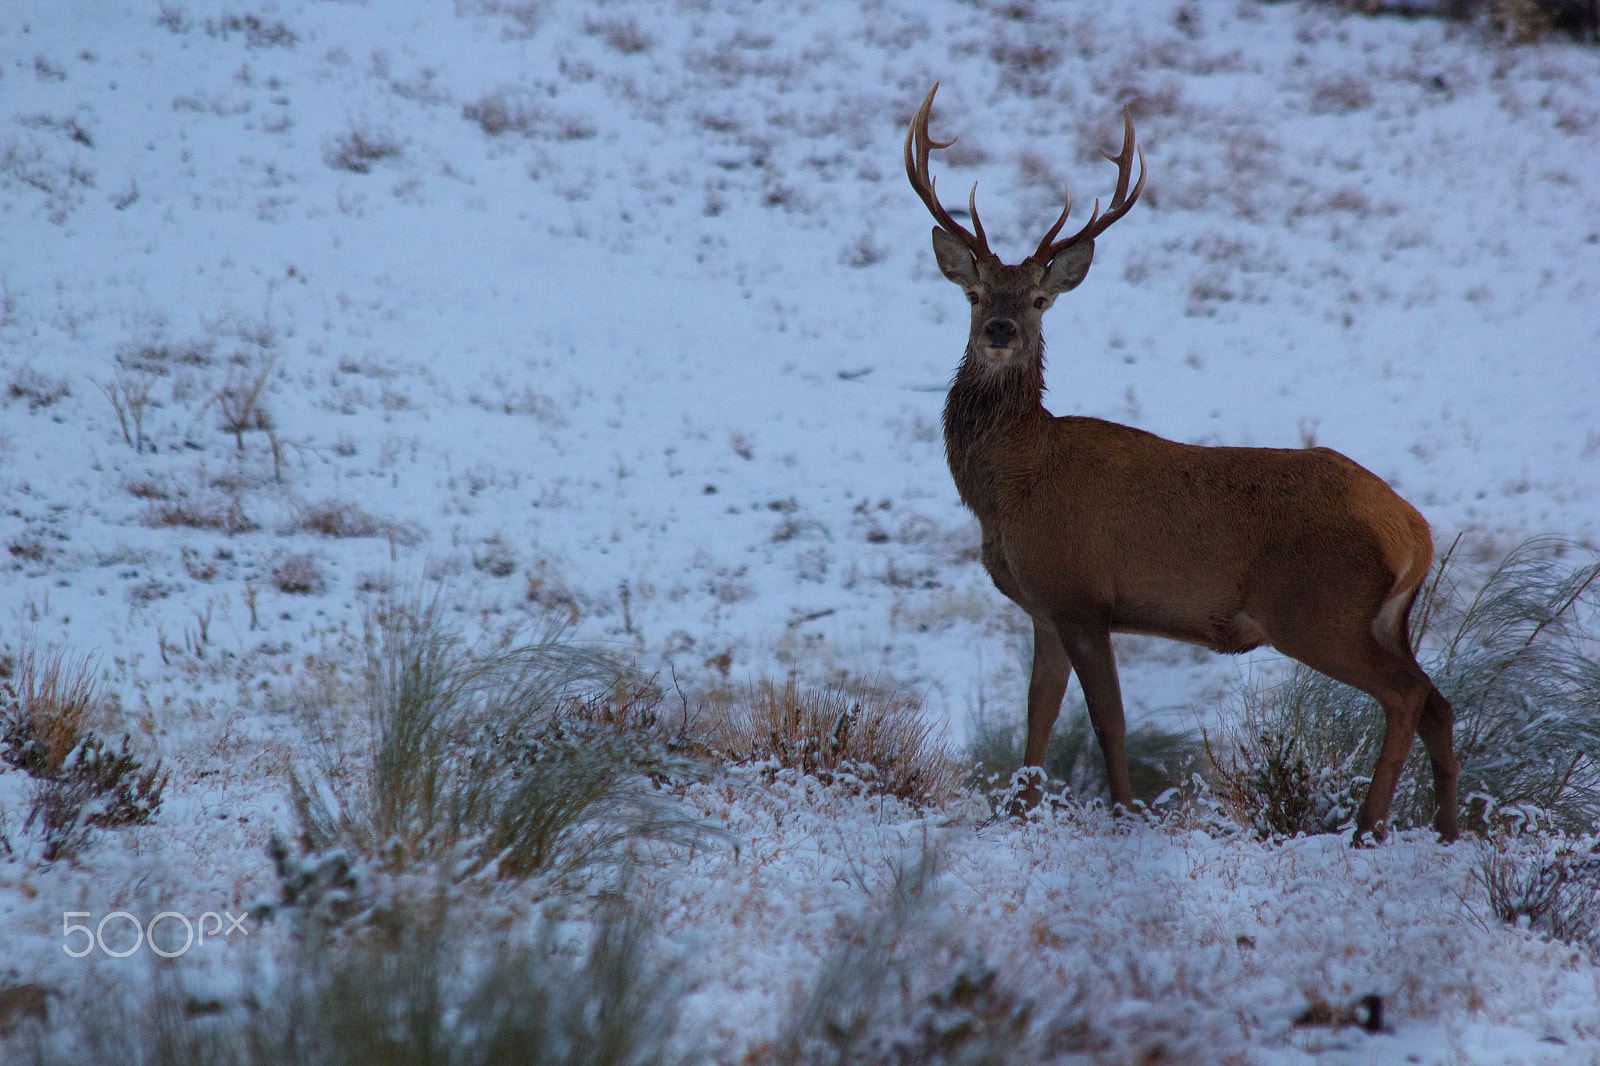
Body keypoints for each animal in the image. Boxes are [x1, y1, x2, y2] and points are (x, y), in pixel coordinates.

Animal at [905, 84, 1459, 843]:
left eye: (1040, 299)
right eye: (975, 292)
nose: (1000, 331)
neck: (1012, 486)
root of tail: (1413, 530)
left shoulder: (1083, 595)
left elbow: (1108, 722)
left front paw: (1125, 814)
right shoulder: (1044, 607)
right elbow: (1037, 721)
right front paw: (1016, 817)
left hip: (1318, 609)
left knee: (1407, 695)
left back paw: (1368, 827)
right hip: (1381, 618)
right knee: (1439, 700)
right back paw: (1453, 829)